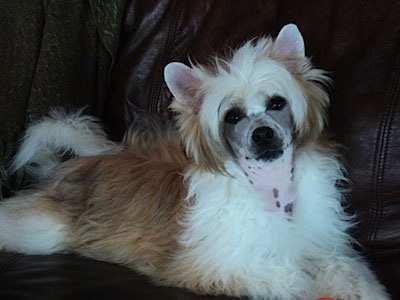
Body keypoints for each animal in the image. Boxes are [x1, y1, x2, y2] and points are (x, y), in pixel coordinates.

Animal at [0, 24, 388, 300]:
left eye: (277, 103)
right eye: (232, 117)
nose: (262, 134)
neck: (270, 188)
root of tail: (84, 160)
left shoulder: (319, 245)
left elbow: (345, 269)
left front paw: (363, 289)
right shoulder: (217, 266)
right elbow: (291, 277)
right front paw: (308, 284)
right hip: (43, 232)